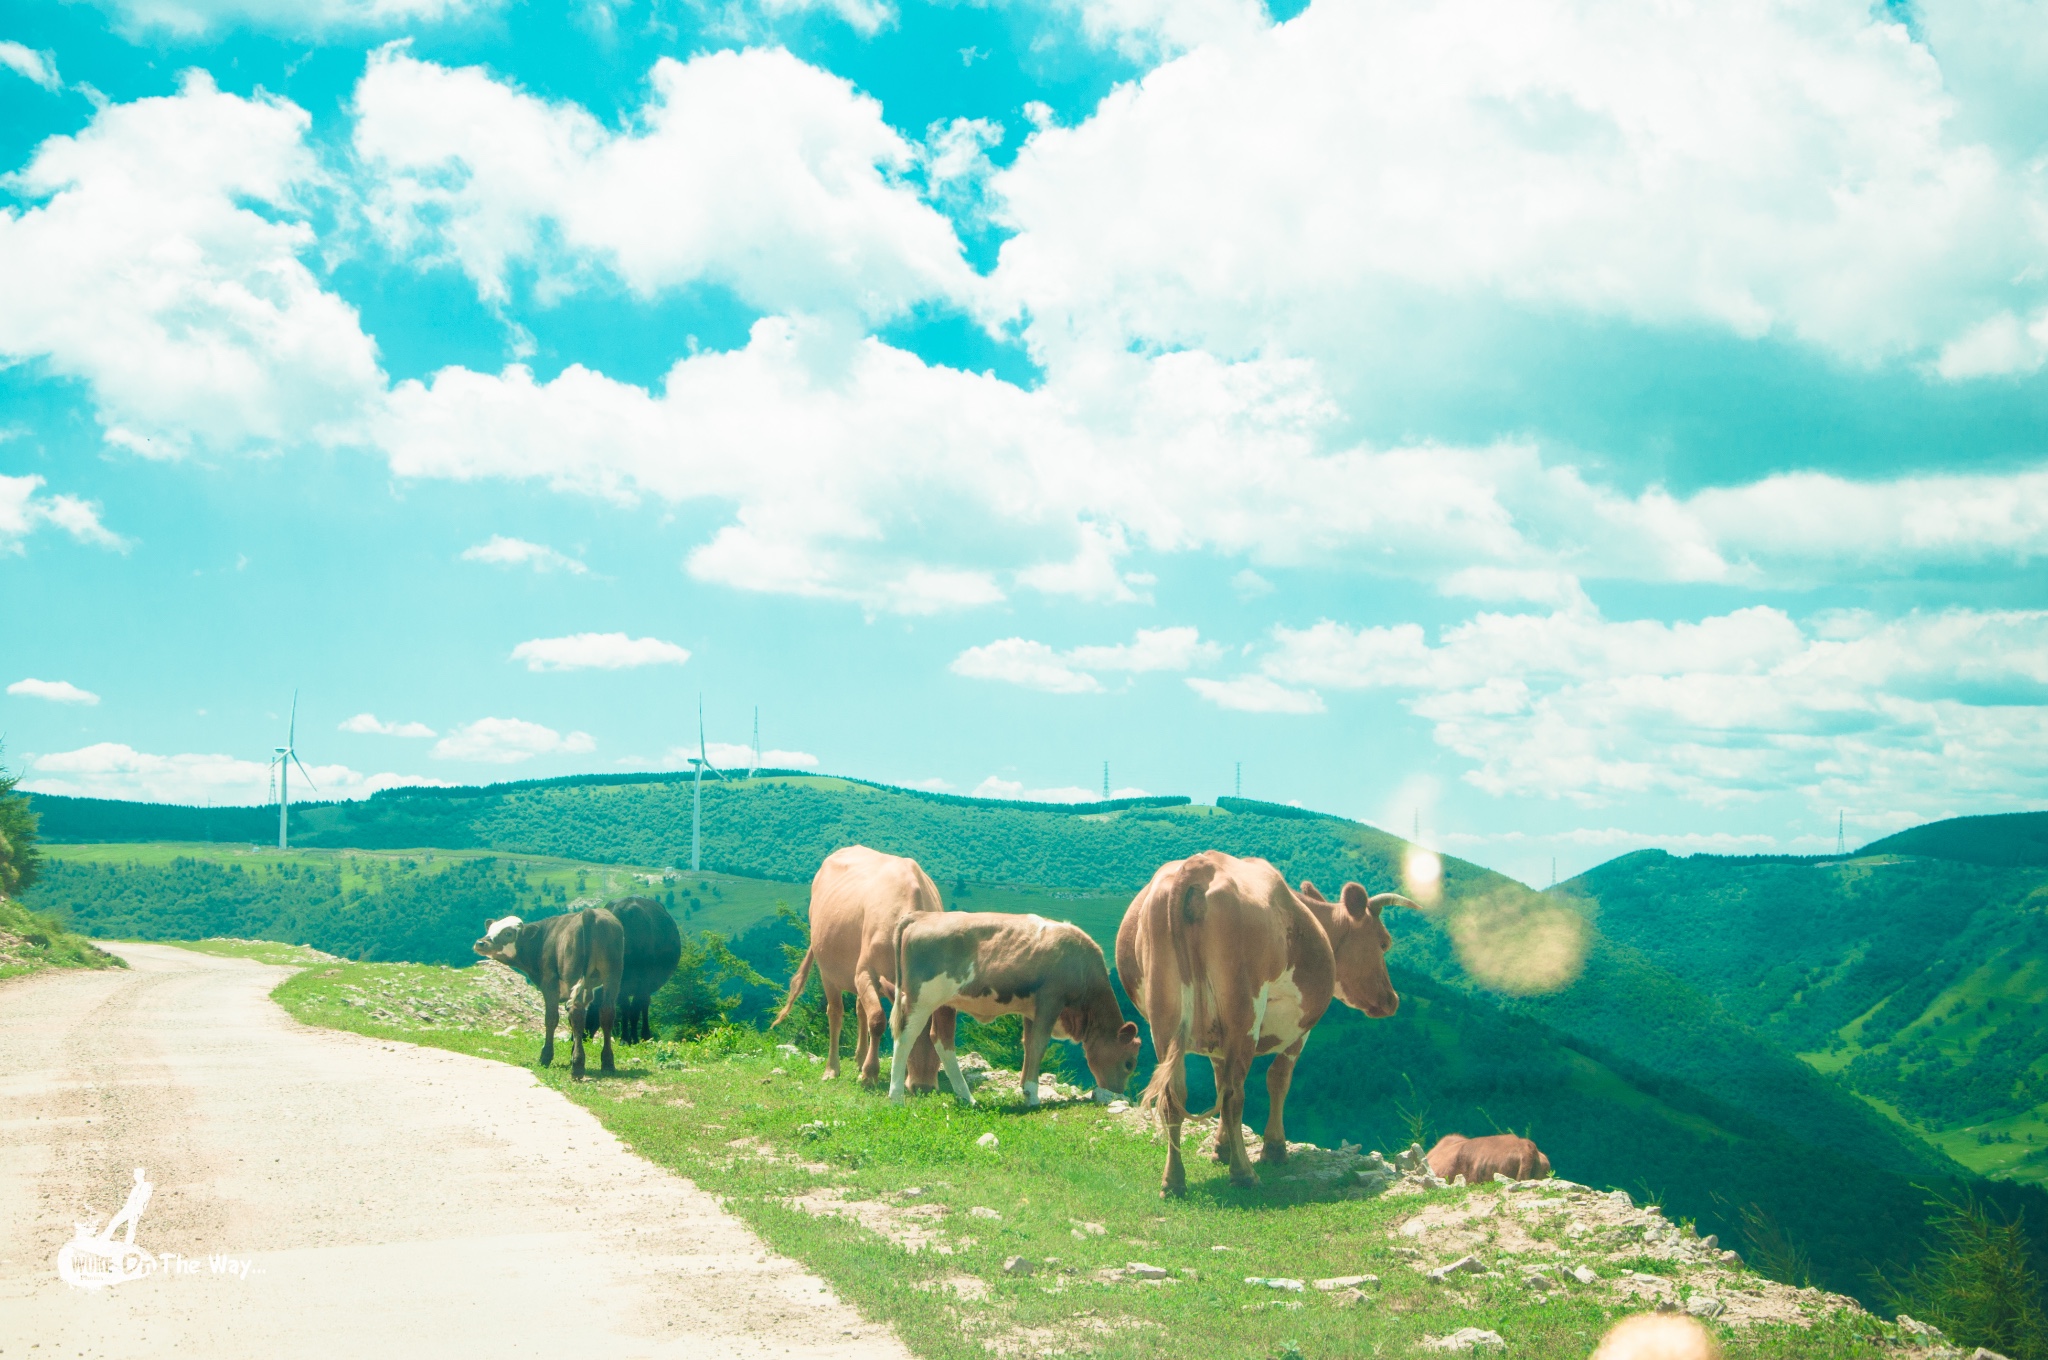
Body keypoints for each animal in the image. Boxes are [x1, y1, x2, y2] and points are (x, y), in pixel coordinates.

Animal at [477, 909, 626, 1081]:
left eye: (508, 933)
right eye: (490, 929)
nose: (480, 943)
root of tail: (591, 913)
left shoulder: (549, 982)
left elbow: (551, 1019)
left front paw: (546, 1057)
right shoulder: (589, 987)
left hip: (574, 973)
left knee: (576, 1012)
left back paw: (577, 1067)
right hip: (613, 975)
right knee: (606, 1013)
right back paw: (607, 1064)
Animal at [585, 897, 688, 1044]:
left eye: (589, 1010)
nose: (575, 1038)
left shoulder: (644, 982)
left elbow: (634, 1010)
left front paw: (633, 1038)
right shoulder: (621, 985)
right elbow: (625, 1008)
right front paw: (625, 1038)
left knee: (644, 1005)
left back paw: (645, 1035)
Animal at [774, 843, 950, 1089]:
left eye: (938, 1036)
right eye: (905, 1031)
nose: (923, 1086)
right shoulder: (864, 973)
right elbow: (877, 1020)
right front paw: (869, 1075)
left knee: (859, 1009)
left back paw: (859, 1058)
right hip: (827, 970)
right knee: (835, 1012)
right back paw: (832, 1068)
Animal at [884, 909, 1138, 1114]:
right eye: (1129, 1063)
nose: (1117, 1093)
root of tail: (923, 915)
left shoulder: (1032, 1010)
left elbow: (1029, 1045)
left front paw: (1025, 1091)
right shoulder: (1050, 1000)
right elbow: (1038, 1044)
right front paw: (1033, 1095)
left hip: (945, 1003)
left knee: (941, 1040)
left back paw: (967, 1098)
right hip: (921, 999)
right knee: (905, 1038)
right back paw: (896, 1098)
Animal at [1122, 856, 1409, 1196]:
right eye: (1384, 943)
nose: (1392, 999)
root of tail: (1198, 865)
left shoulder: (1217, 1044)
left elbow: (1217, 1082)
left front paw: (1221, 1149)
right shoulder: (1299, 1030)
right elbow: (1278, 1080)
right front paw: (1274, 1148)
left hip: (1164, 1023)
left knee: (1174, 1096)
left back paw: (1174, 1181)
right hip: (1243, 1017)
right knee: (1234, 1094)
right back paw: (1244, 1174)